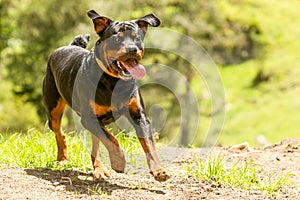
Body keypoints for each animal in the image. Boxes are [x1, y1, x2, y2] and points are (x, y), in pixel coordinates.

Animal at [42, 9, 170, 181]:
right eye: (117, 38)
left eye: (136, 37)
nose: (132, 50)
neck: (114, 82)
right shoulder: (89, 117)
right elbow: (111, 139)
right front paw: (118, 161)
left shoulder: (140, 116)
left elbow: (148, 145)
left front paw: (159, 171)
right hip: (53, 108)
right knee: (59, 132)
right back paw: (63, 159)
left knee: (95, 142)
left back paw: (99, 169)